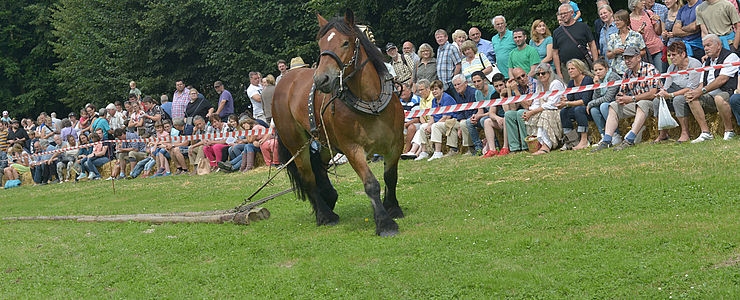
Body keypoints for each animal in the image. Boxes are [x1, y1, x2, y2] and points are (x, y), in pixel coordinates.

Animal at [272, 9, 404, 237]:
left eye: (345, 43)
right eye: (321, 44)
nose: (321, 80)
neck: (372, 103)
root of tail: (285, 80)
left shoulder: (396, 144)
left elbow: (390, 176)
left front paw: (393, 207)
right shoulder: (352, 149)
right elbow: (371, 183)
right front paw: (384, 223)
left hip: (325, 142)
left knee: (320, 166)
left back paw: (329, 198)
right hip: (296, 144)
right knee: (308, 176)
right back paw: (325, 214)